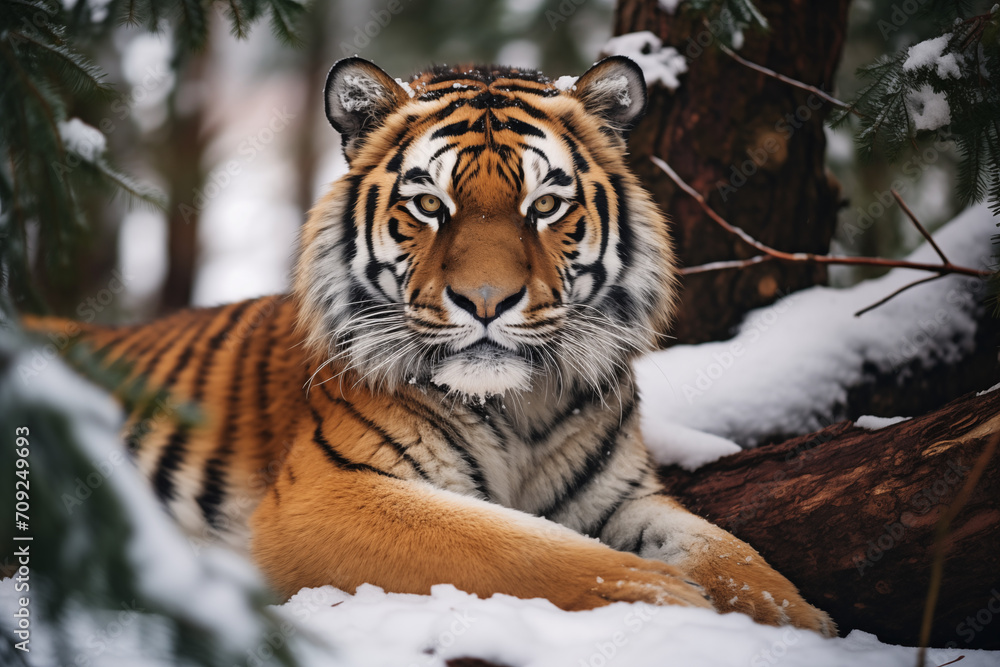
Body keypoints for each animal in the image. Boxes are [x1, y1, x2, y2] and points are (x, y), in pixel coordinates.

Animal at [25, 55, 835, 634]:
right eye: (428, 204)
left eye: (545, 204)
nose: (487, 301)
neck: (520, 409)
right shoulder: (331, 493)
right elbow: (526, 549)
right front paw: (674, 604)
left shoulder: (625, 495)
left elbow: (732, 553)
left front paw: (804, 626)